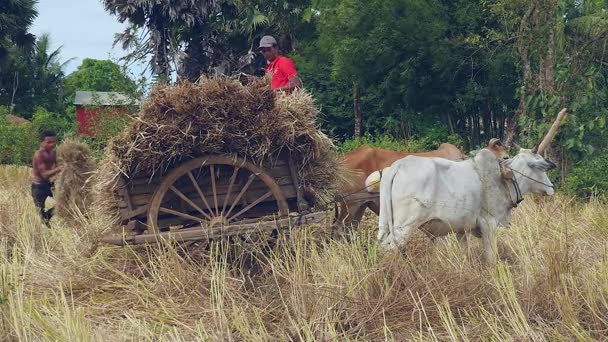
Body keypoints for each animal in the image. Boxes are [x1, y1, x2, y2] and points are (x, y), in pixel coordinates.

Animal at [332, 138, 508, 230]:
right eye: (502, 157)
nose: (507, 158)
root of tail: (341, 162)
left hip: (360, 206)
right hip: (350, 204)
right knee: (338, 229)